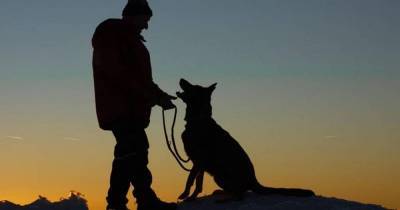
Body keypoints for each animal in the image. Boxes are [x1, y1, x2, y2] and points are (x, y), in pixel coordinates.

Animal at [177, 79, 314, 202]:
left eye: (193, 87)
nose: (181, 79)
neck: (198, 120)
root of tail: (254, 181)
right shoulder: (200, 163)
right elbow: (198, 183)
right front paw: (192, 197)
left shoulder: (198, 160)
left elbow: (190, 179)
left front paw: (185, 195)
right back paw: (221, 193)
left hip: (220, 177)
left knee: (240, 195)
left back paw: (226, 199)